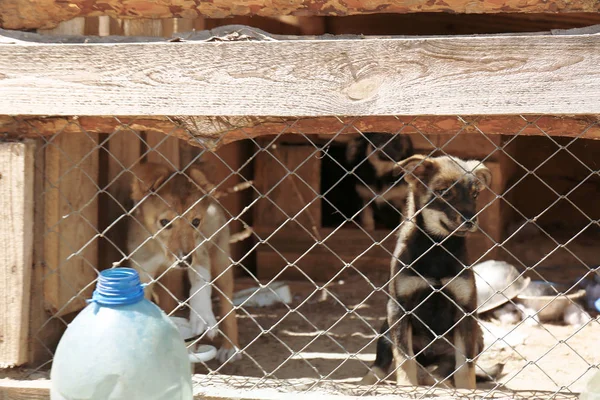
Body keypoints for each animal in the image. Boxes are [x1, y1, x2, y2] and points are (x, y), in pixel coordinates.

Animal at [126, 162, 241, 362]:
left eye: (196, 221)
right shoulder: (143, 267)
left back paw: (230, 347)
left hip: (220, 259)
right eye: (164, 222)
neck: (162, 252)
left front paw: (201, 314)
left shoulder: (199, 253)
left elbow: (200, 284)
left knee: (227, 303)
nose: (184, 260)